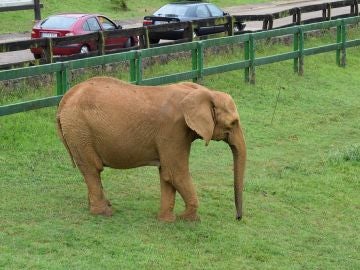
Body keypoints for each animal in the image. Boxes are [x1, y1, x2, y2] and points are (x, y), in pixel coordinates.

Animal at [56, 76, 246, 221]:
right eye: (233, 123)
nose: (238, 218)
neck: (201, 91)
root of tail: (64, 100)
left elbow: (166, 174)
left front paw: (167, 220)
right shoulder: (173, 130)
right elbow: (176, 173)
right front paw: (187, 219)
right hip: (79, 130)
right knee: (92, 169)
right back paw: (105, 212)